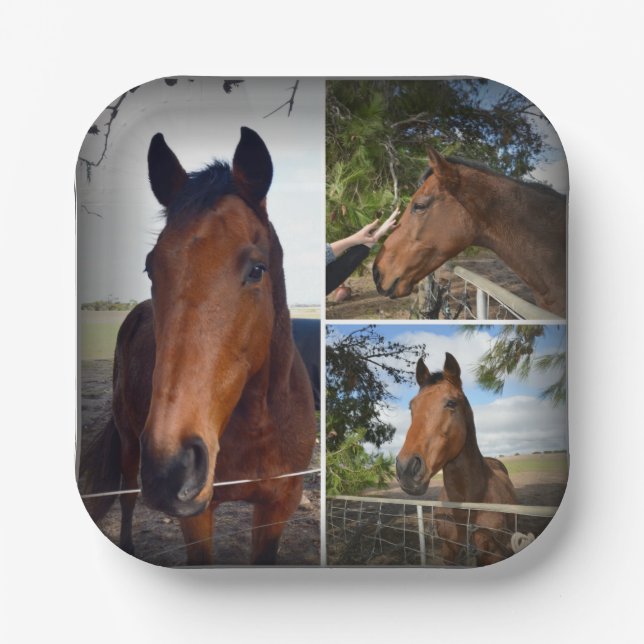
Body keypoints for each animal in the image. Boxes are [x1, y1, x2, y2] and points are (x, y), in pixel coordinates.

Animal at [80, 127, 316, 566]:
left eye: (256, 269)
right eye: (150, 267)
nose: (170, 468)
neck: (257, 424)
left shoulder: (278, 506)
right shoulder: (196, 515)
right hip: (129, 442)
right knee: (126, 496)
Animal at [396, 353, 518, 566]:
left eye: (451, 403)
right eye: (411, 406)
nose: (406, 469)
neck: (468, 508)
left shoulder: (492, 554)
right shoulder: (448, 552)